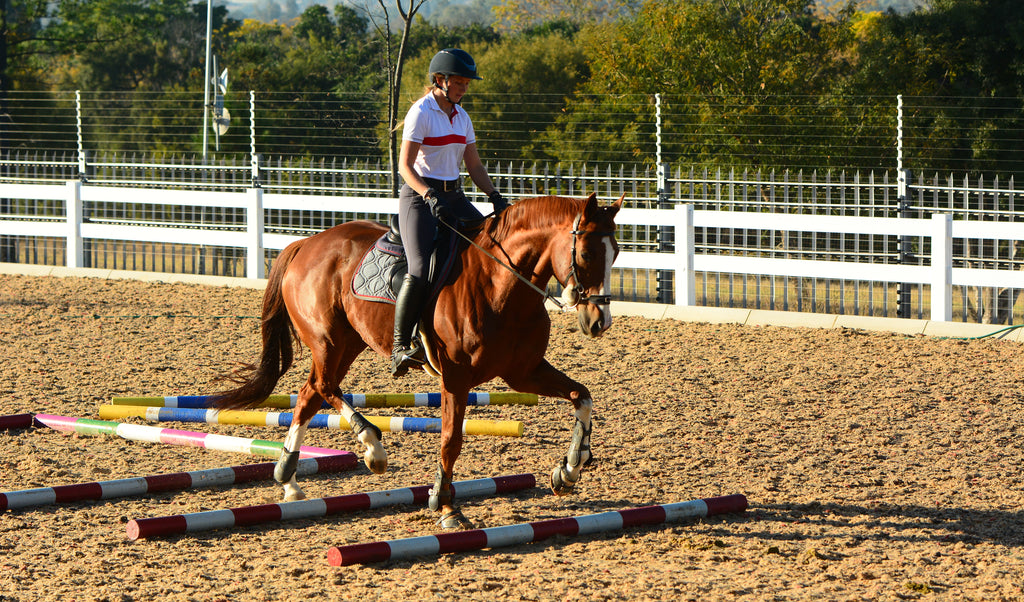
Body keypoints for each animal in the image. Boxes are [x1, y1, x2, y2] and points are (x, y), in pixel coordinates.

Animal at [211, 191, 618, 528]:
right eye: (586, 253)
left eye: (615, 252)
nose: (599, 322)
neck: (500, 283)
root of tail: (306, 242)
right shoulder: (456, 379)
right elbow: (451, 440)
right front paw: (446, 505)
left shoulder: (524, 373)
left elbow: (582, 397)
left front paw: (570, 468)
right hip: (328, 340)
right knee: (324, 387)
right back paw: (372, 448)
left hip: (349, 342)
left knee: (310, 393)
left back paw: (289, 479)